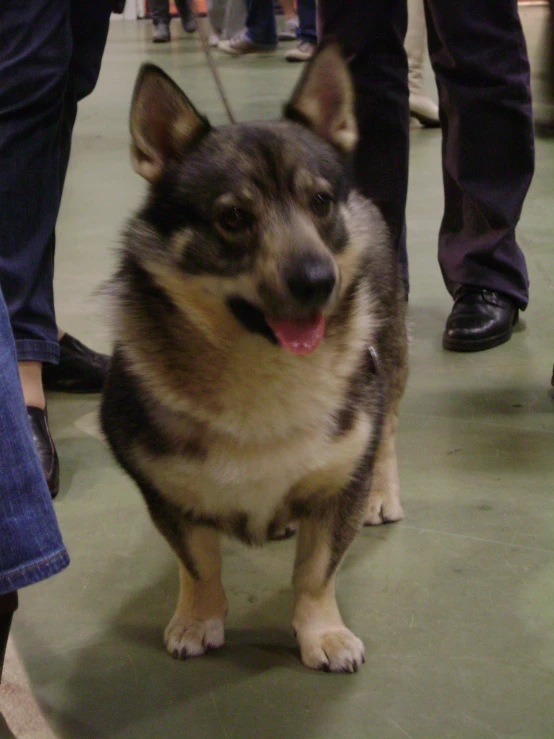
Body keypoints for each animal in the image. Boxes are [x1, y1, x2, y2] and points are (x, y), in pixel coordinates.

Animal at [101, 43, 408, 672]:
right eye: (233, 218)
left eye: (320, 202)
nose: (318, 281)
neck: (264, 367)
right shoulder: (163, 492)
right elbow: (198, 565)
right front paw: (197, 618)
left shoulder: (340, 483)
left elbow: (316, 573)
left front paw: (322, 633)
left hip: (388, 365)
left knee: (387, 431)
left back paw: (382, 493)